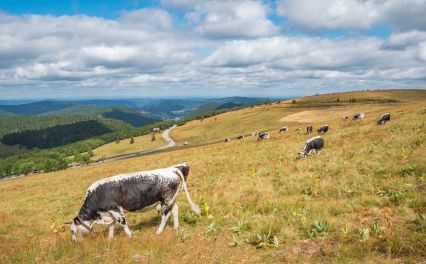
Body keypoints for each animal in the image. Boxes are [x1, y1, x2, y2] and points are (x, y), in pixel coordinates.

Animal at [64, 163, 200, 241]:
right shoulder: (109, 213)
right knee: (175, 209)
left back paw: (159, 231)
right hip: (170, 199)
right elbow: (111, 225)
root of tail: (171, 169)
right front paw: (110, 239)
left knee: (165, 216)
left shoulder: (115, 209)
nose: (73, 241)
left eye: (72, 230)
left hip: (166, 200)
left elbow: (122, 223)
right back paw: (176, 227)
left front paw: (129, 236)